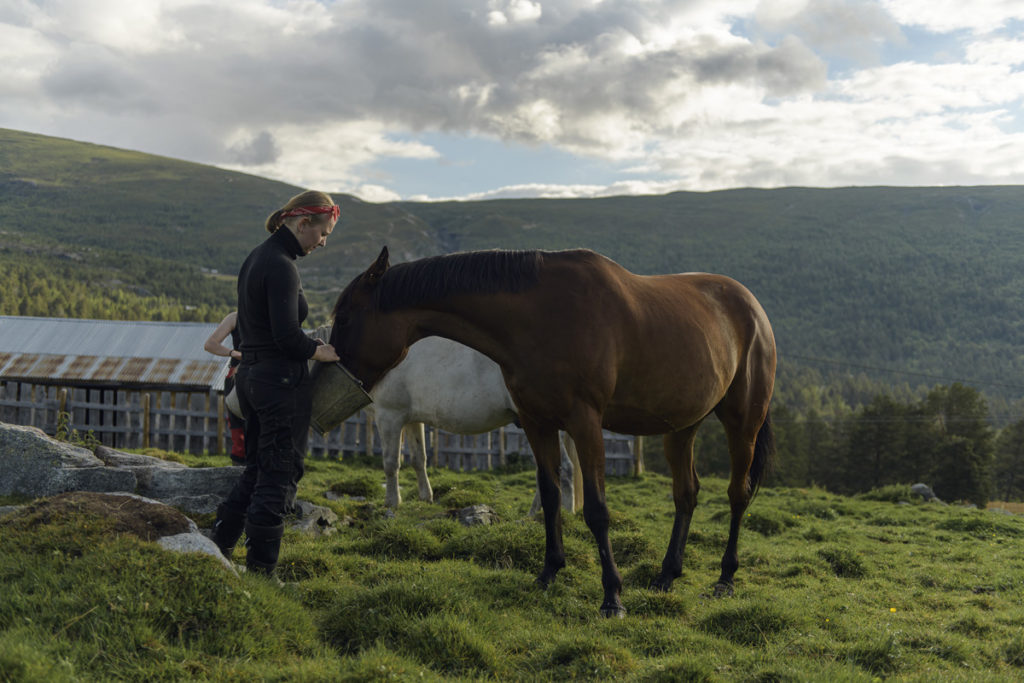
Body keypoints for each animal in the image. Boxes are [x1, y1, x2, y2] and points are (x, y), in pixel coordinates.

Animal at [331, 246, 770, 618]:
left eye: (345, 317)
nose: (328, 372)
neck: (540, 316)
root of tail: (752, 307)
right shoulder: (537, 422)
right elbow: (551, 494)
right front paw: (549, 572)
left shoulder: (584, 422)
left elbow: (595, 509)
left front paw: (612, 596)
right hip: (682, 427)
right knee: (686, 493)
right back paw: (666, 575)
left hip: (742, 421)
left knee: (738, 493)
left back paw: (725, 577)